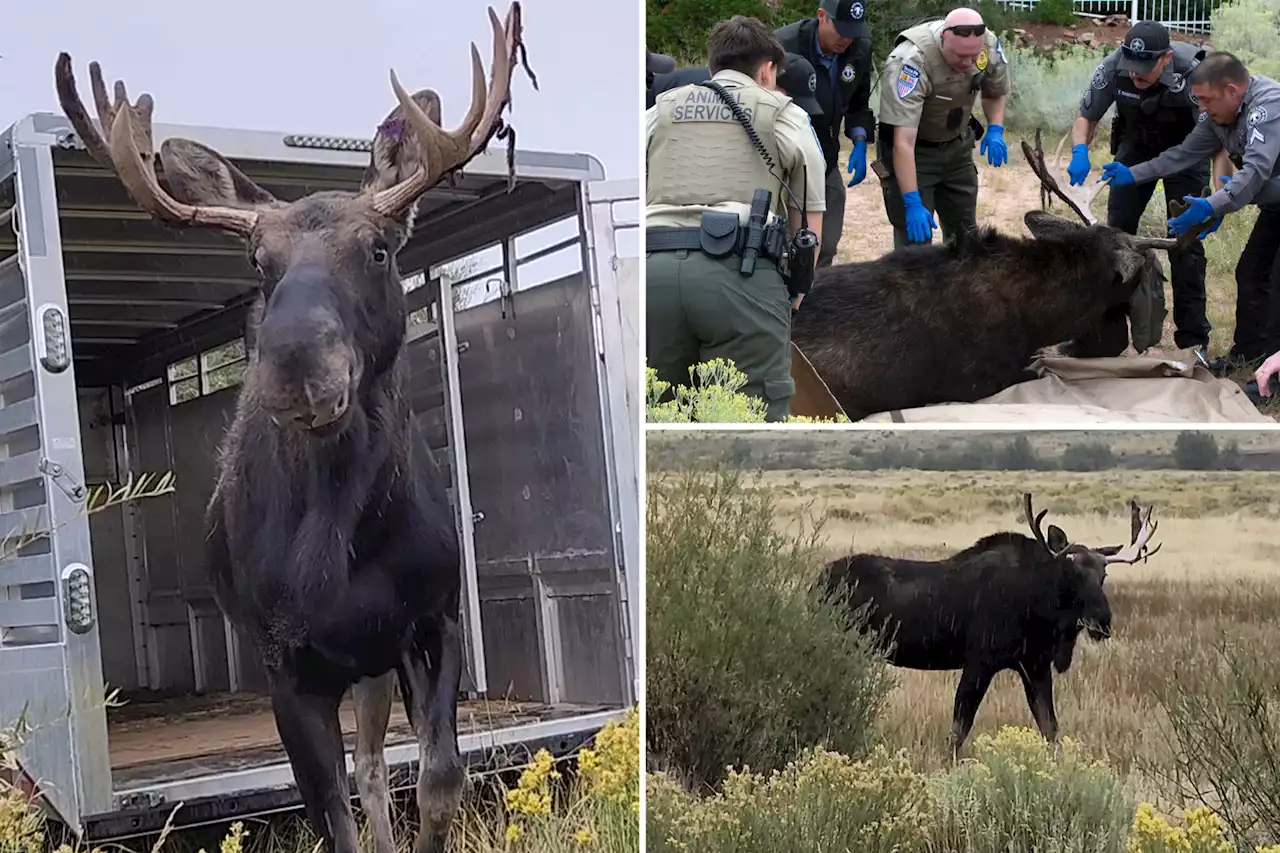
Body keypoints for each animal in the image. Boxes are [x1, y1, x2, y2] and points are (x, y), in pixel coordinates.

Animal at [53, 6, 535, 850]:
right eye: (257, 259)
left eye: (378, 248)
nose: (295, 360)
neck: (344, 546)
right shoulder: (288, 664)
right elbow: (328, 810)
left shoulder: (433, 620)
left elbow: (440, 778)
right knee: (364, 773)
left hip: (375, 664)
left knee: (378, 767)